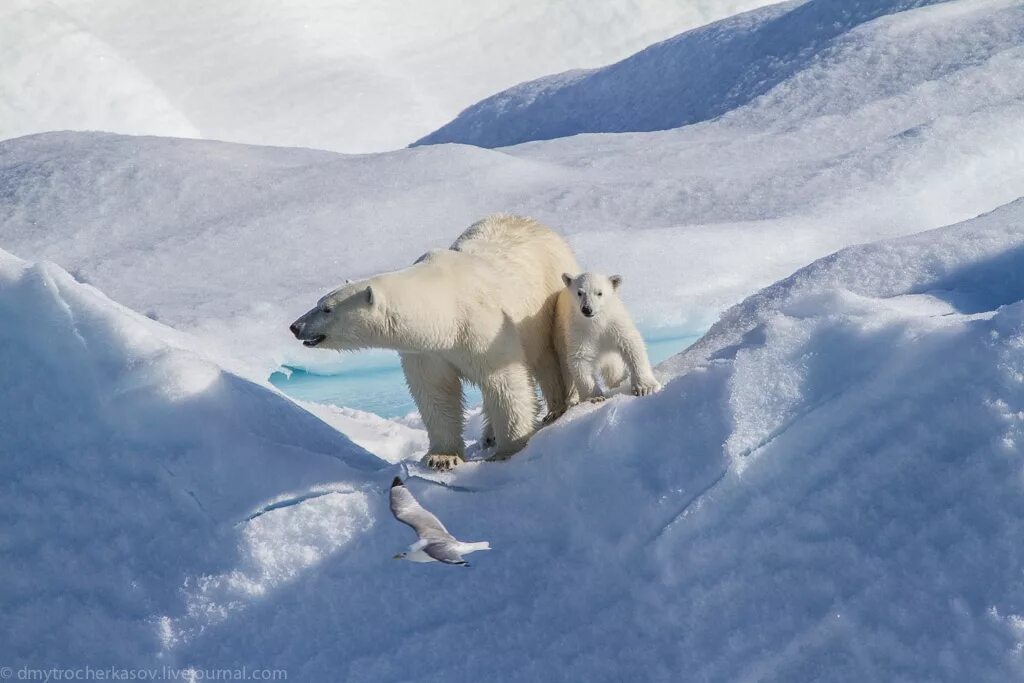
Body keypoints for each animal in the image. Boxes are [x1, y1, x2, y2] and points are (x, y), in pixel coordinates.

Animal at [292, 218, 581, 471]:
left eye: (326, 309)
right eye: (319, 302)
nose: (295, 326)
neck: (446, 313)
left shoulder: (484, 329)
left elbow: (503, 381)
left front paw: (510, 448)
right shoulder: (427, 351)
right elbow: (435, 392)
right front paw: (442, 458)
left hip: (548, 297)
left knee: (550, 354)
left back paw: (559, 407)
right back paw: (488, 435)